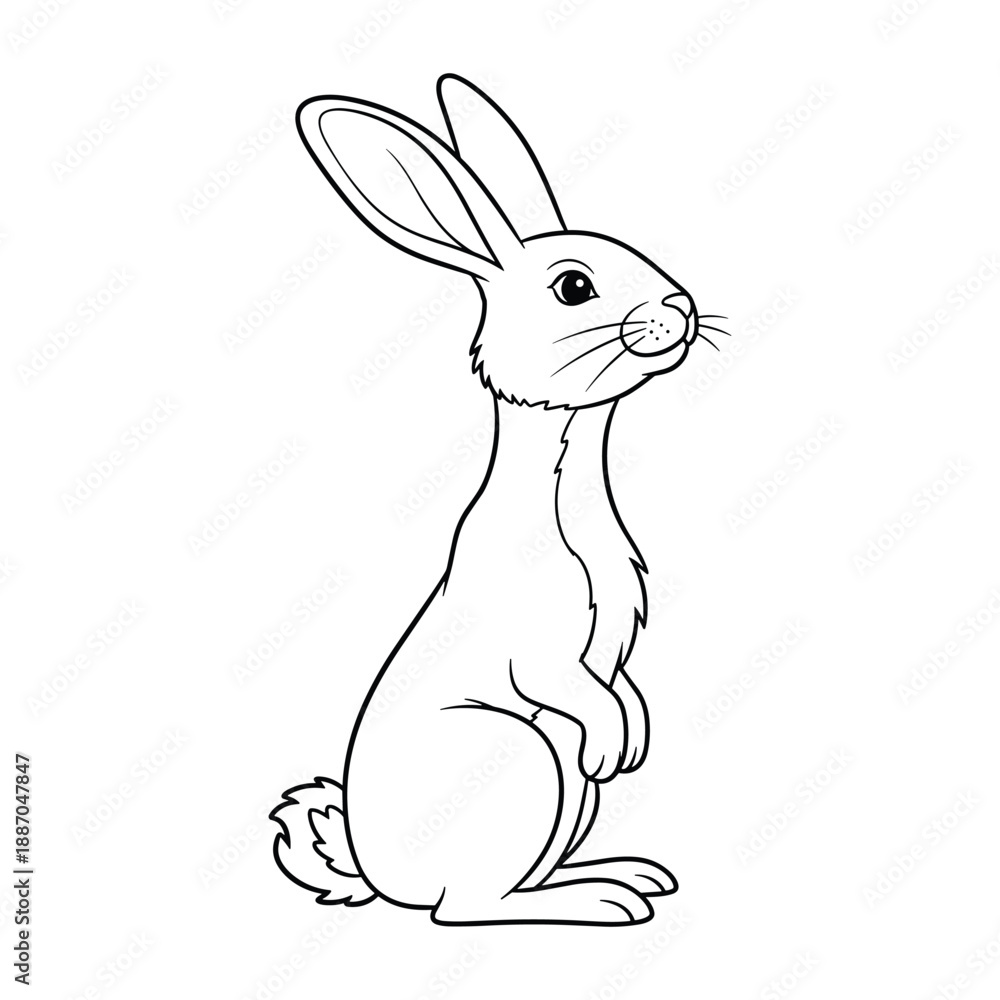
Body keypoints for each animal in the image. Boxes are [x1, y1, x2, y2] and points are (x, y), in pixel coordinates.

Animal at [270, 74, 723, 926]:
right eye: (574, 287)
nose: (681, 310)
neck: (566, 497)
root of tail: (377, 878)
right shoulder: (542, 648)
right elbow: (568, 683)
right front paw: (613, 739)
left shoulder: (612, 644)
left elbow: (621, 685)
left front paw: (635, 738)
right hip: (525, 760)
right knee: (468, 907)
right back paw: (603, 902)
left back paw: (626, 876)